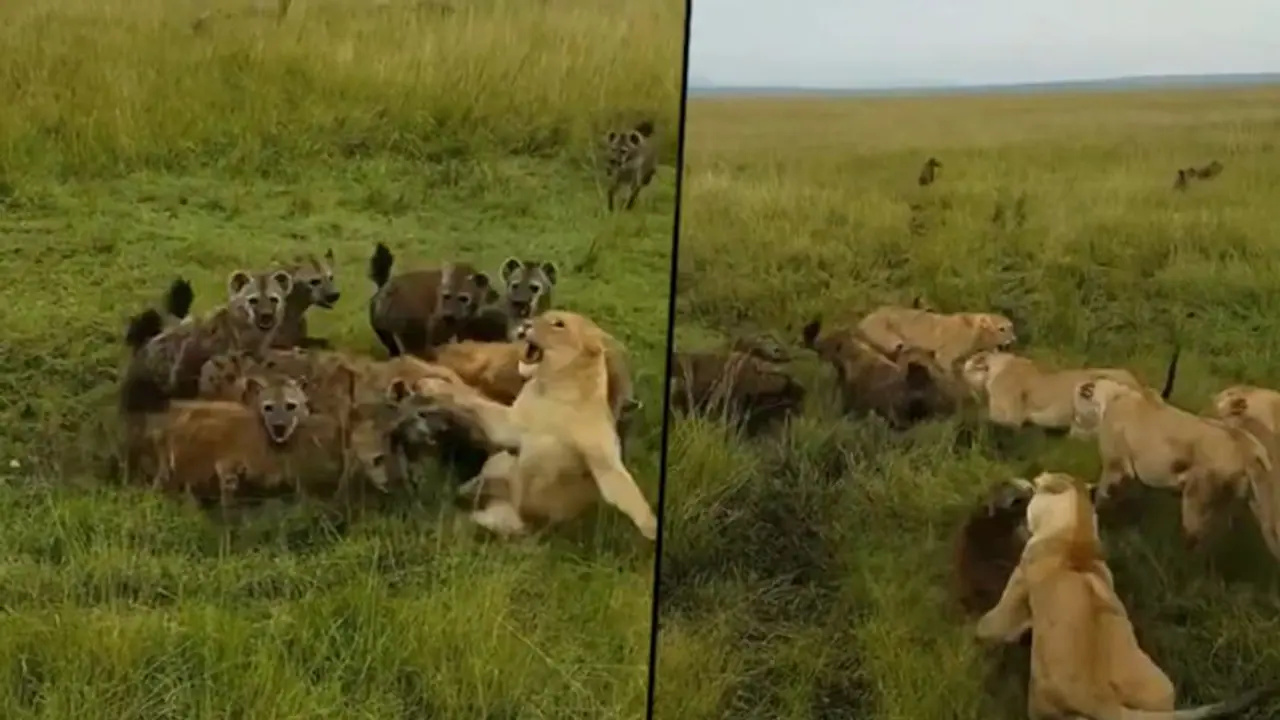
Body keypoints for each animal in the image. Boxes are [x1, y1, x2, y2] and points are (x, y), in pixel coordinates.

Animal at [974, 471, 1280, 720]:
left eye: (1036, 485)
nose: (1024, 484)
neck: (1074, 537)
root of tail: (1100, 701)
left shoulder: (1013, 596)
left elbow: (992, 623)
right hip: (1161, 688)